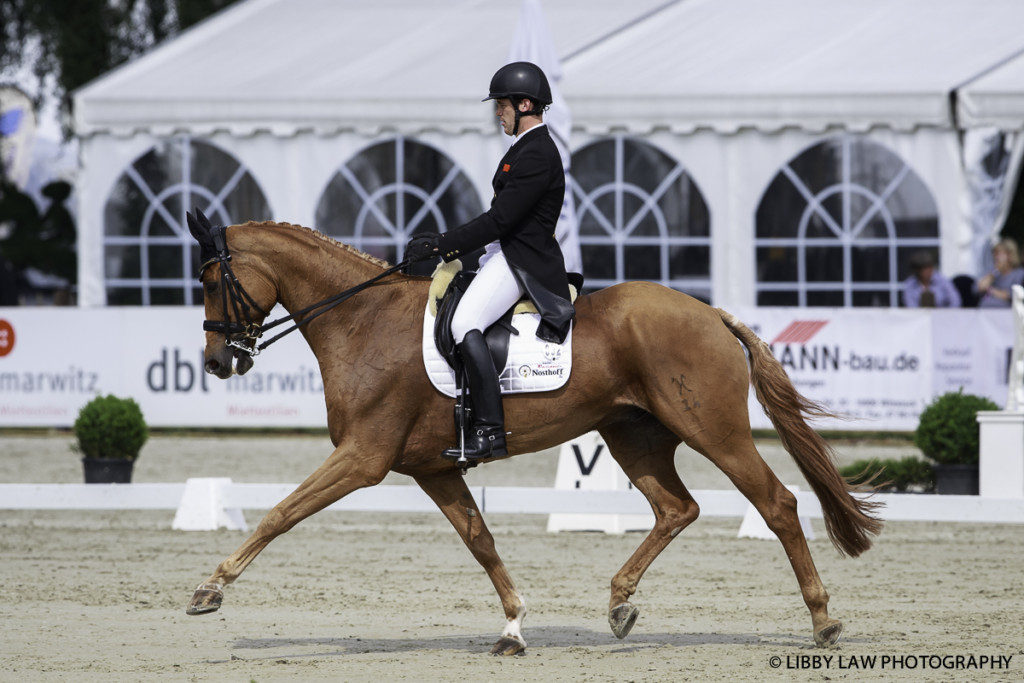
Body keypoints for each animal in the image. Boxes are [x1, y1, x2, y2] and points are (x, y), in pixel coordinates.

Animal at [184, 220, 880, 655]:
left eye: (212, 281)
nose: (218, 363)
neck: (362, 320)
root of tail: (710, 312)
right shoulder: (434, 468)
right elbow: (482, 543)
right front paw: (514, 628)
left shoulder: (362, 458)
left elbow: (280, 513)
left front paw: (209, 590)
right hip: (633, 434)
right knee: (676, 508)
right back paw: (620, 605)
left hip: (714, 428)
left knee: (777, 504)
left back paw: (823, 621)